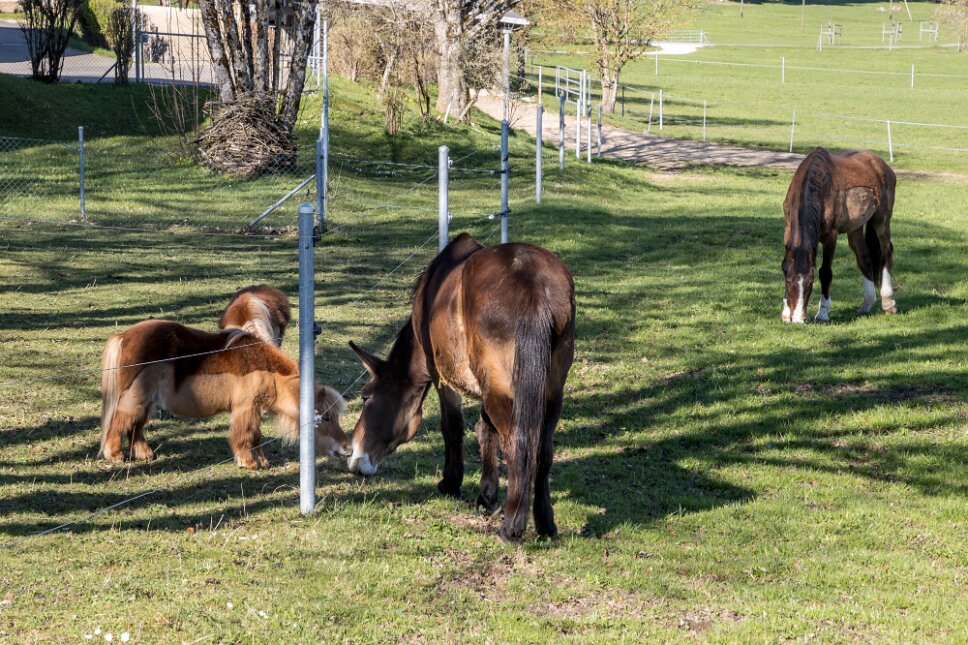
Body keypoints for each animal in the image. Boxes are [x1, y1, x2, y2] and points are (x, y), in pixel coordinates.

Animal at [100, 319, 349, 469]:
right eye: (326, 417)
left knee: (135, 427)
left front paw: (261, 461)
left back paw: (145, 454)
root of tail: (122, 336)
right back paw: (115, 455)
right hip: (135, 398)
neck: (264, 369)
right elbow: (246, 434)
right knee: (120, 422)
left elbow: (256, 436)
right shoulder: (245, 408)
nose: (346, 448)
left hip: (147, 402)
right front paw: (248, 462)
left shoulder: (253, 409)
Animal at [346, 233, 576, 541]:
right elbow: (486, 429)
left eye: (365, 397)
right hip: (550, 391)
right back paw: (545, 524)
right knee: (543, 448)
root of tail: (532, 287)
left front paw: (451, 482)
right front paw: (487, 495)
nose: (355, 458)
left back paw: (512, 526)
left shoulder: (441, 375)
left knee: (518, 443)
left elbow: (453, 427)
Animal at [781, 147, 897, 323]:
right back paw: (867, 304)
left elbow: (825, 273)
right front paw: (786, 314)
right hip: (855, 228)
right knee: (864, 259)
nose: (799, 320)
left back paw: (888, 302)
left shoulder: (830, 237)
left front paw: (822, 313)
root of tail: (880, 164)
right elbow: (786, 264)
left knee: (886, 253)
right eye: (789, 280)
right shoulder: (788, 232)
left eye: (811, 282)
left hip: (881, 220)